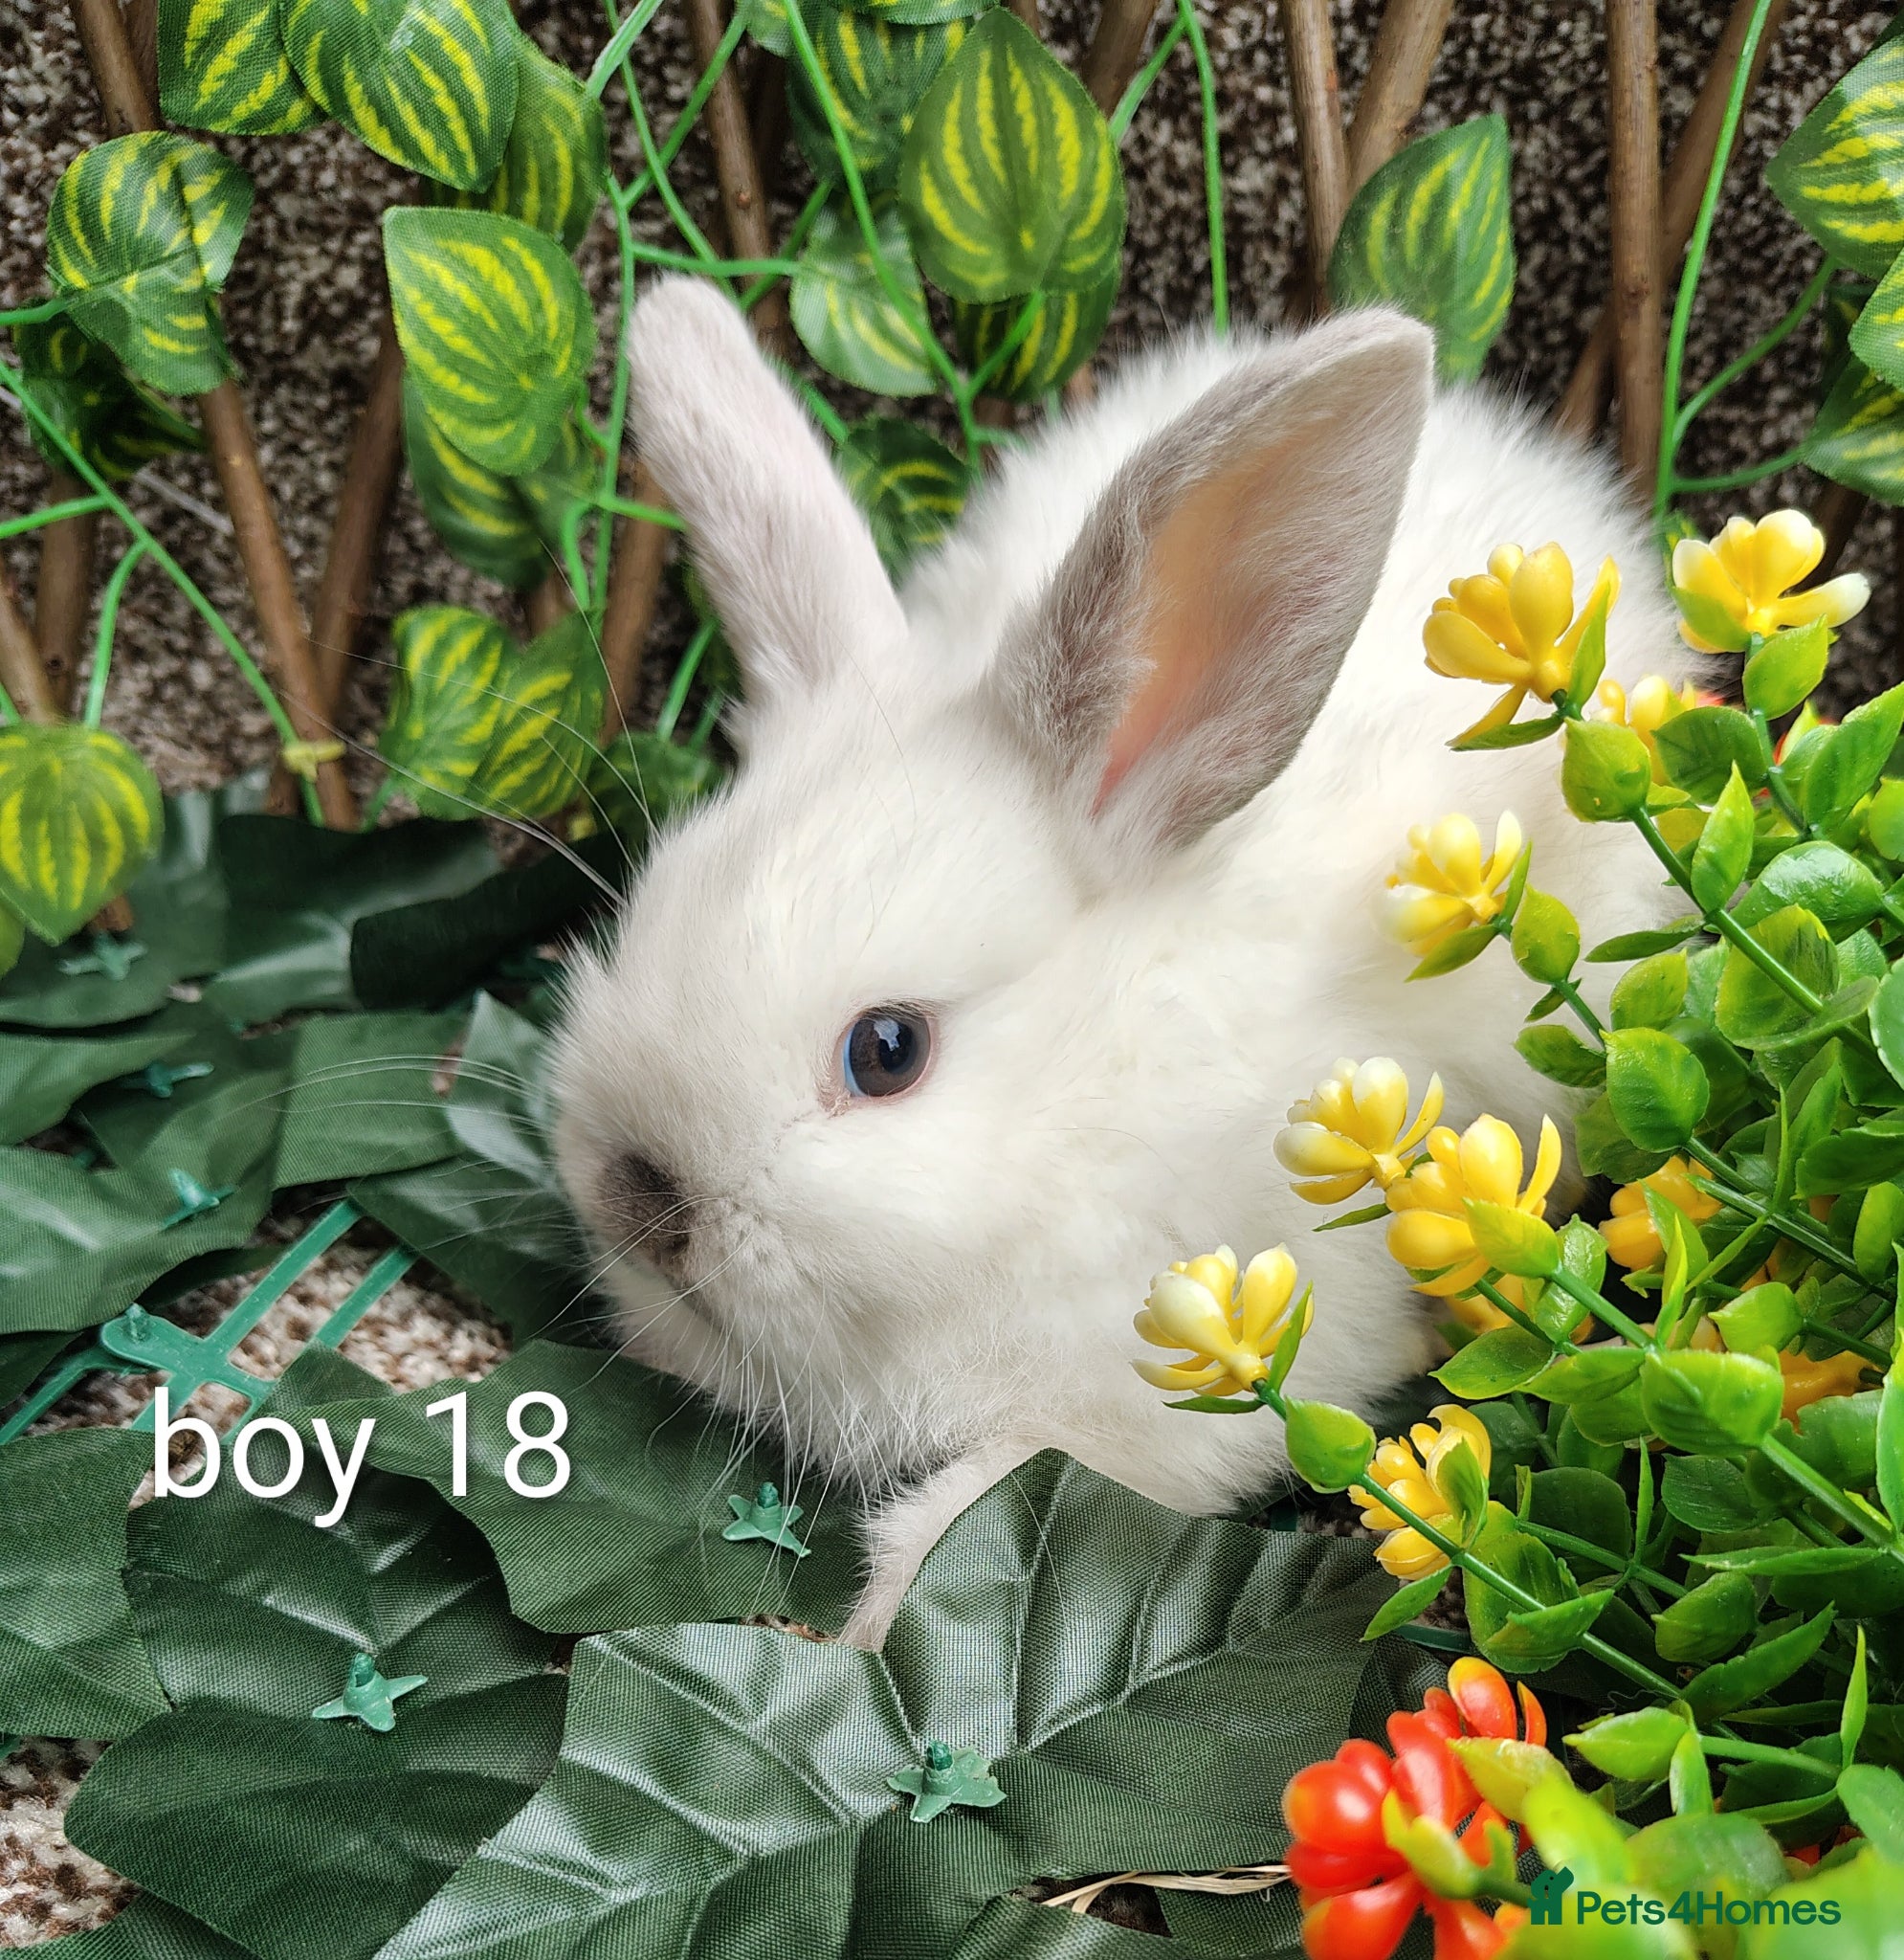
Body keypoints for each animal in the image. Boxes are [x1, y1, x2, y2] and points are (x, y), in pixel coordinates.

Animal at [550, 275, 1688, 1649]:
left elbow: (964, 1520)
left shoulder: (1156, 1400)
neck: (1082, 1103)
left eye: (887, 1051)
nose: (637, 1202)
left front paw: (865, 1639)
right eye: (642, 919)